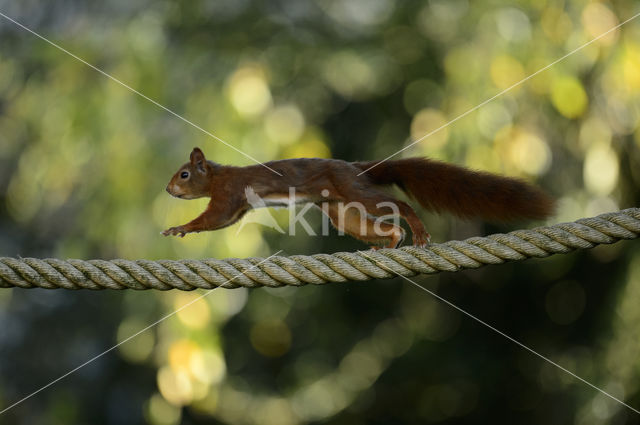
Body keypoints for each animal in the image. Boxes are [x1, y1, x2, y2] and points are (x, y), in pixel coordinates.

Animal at [162, 148, 552, 248]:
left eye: (184, 174)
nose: (168, 190)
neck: (216, 175)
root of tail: (354, 168)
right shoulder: (236, 206)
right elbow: (221, 222)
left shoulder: (228, 194)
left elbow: (212, 218)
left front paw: (179, 228)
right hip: (341, 212)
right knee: (378, 227)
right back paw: (389, 243)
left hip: (354, 193)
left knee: (398, 206)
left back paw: (416, 231)